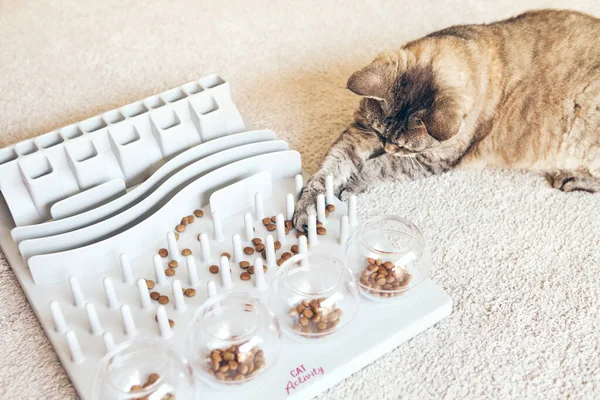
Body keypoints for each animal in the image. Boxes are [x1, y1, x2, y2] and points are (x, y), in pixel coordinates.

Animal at [292, 9, 600, 230]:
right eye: (380, 135)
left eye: (403, 147)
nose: (388, 147)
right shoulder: (360, 132)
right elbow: (328, 170)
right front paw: (310, 206)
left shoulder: (430, 160)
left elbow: (376, 167)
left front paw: (353, 183)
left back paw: (570, 178)